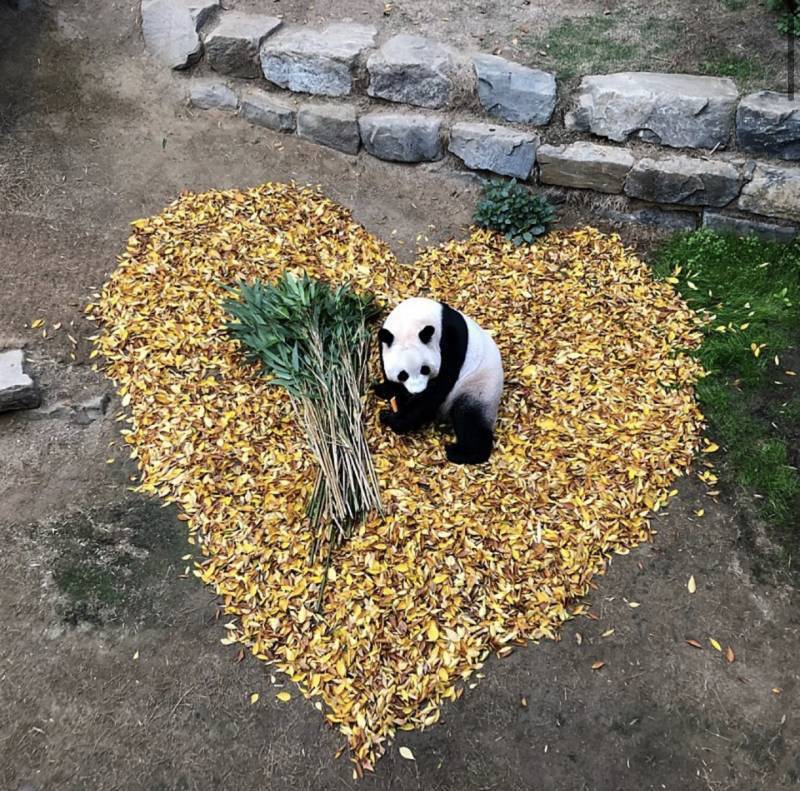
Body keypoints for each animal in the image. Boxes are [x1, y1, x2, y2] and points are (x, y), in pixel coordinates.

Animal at [374, 300, 500, 468]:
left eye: (424, 369)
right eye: (403, 374)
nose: (417, 392)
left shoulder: (451, 343)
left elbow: (438, 388)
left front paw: (395, 419)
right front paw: (387, 391)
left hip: (478, 386)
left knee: (469, 420)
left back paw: (461, 453)